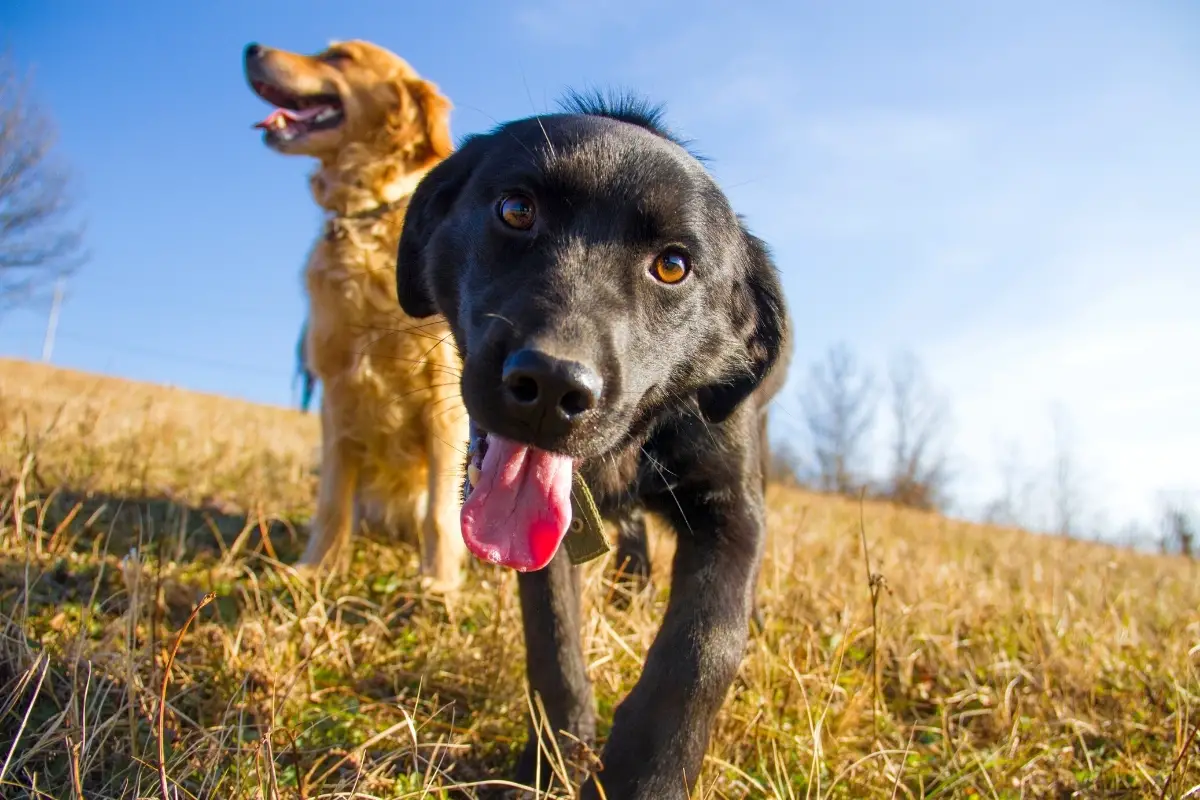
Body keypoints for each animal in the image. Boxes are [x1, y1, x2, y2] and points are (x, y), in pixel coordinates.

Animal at [396, 92, 787, 796]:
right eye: (516, 210)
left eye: (673, 266)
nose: (551, 385)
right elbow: (553, 643)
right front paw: (553, 760)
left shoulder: (732, 511)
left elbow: (703, 649)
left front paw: (643, 776)